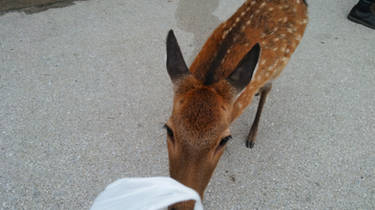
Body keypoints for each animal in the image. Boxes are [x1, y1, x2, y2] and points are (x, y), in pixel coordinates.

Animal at [164, 0, 308, 209]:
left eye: (225, 139)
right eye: (168, 129)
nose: (182, 206)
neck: (209, 79)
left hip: (281, 65)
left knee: (268, 88)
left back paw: (252, 135)